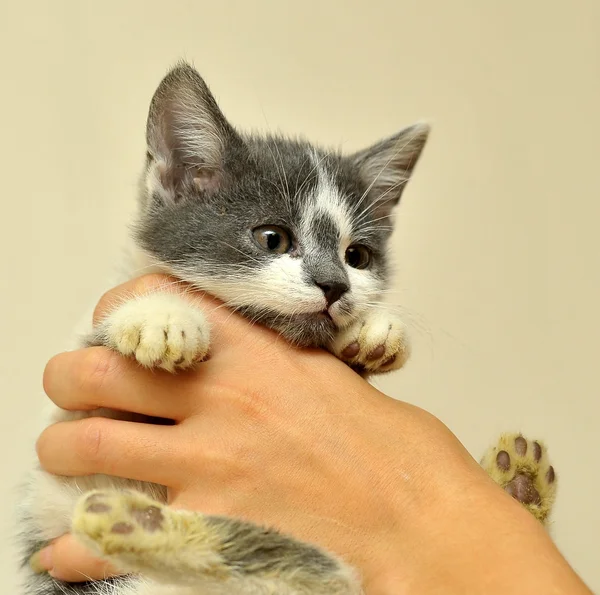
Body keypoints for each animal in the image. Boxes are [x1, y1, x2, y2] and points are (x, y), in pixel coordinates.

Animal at [18, 62, 556, 592]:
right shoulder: (58, 488)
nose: (335, 285)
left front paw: (372, 332)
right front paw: (160, 315)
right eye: (272, 238)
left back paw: (518, 486)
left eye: (357, 256)